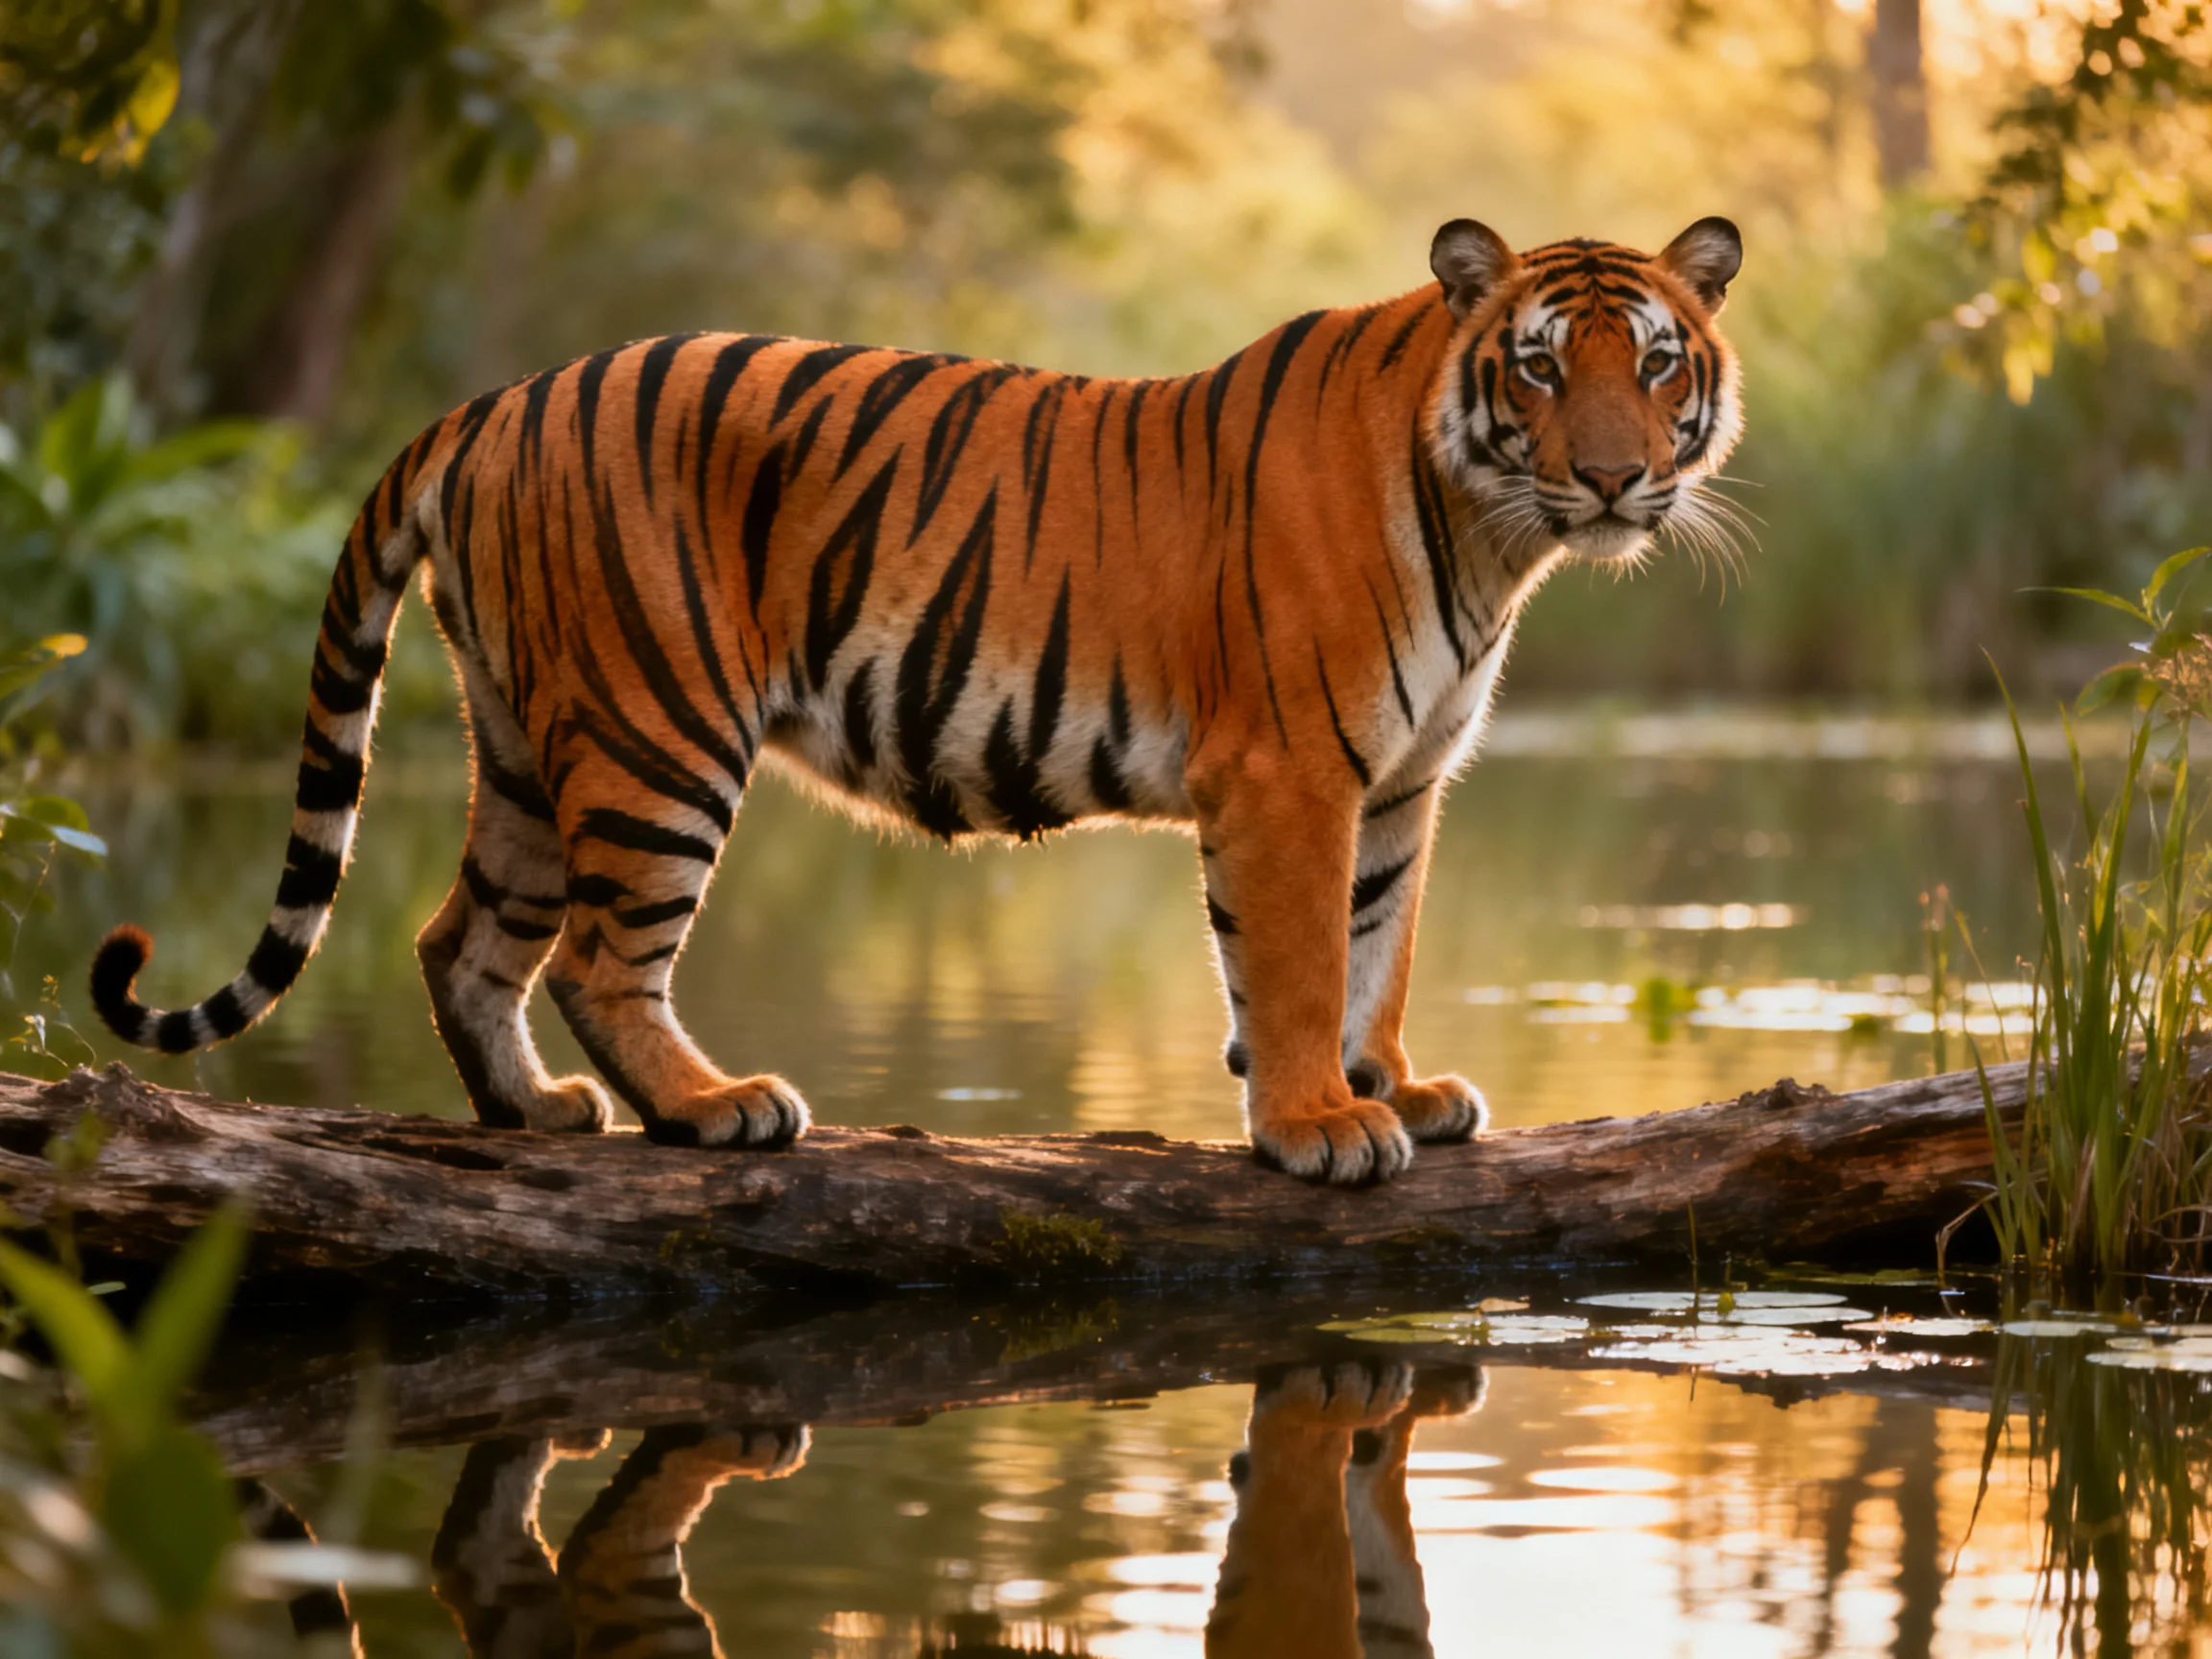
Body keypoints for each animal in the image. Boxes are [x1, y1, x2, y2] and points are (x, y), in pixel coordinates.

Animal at [89, 215, 1743, 1186]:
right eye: (1541, 369)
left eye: (1658, 364)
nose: (1613, 477)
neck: (1494, 533)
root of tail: (493, 400)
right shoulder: (1293, 775)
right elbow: (1288, 963)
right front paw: (1317, 1126)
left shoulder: (1398, 783)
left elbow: (1374, 949)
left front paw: (1390, 1082)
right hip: (654, 732)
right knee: (597, 961)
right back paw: (713, 1108)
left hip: (524, 742)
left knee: (458, 941)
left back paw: (537, 1116)